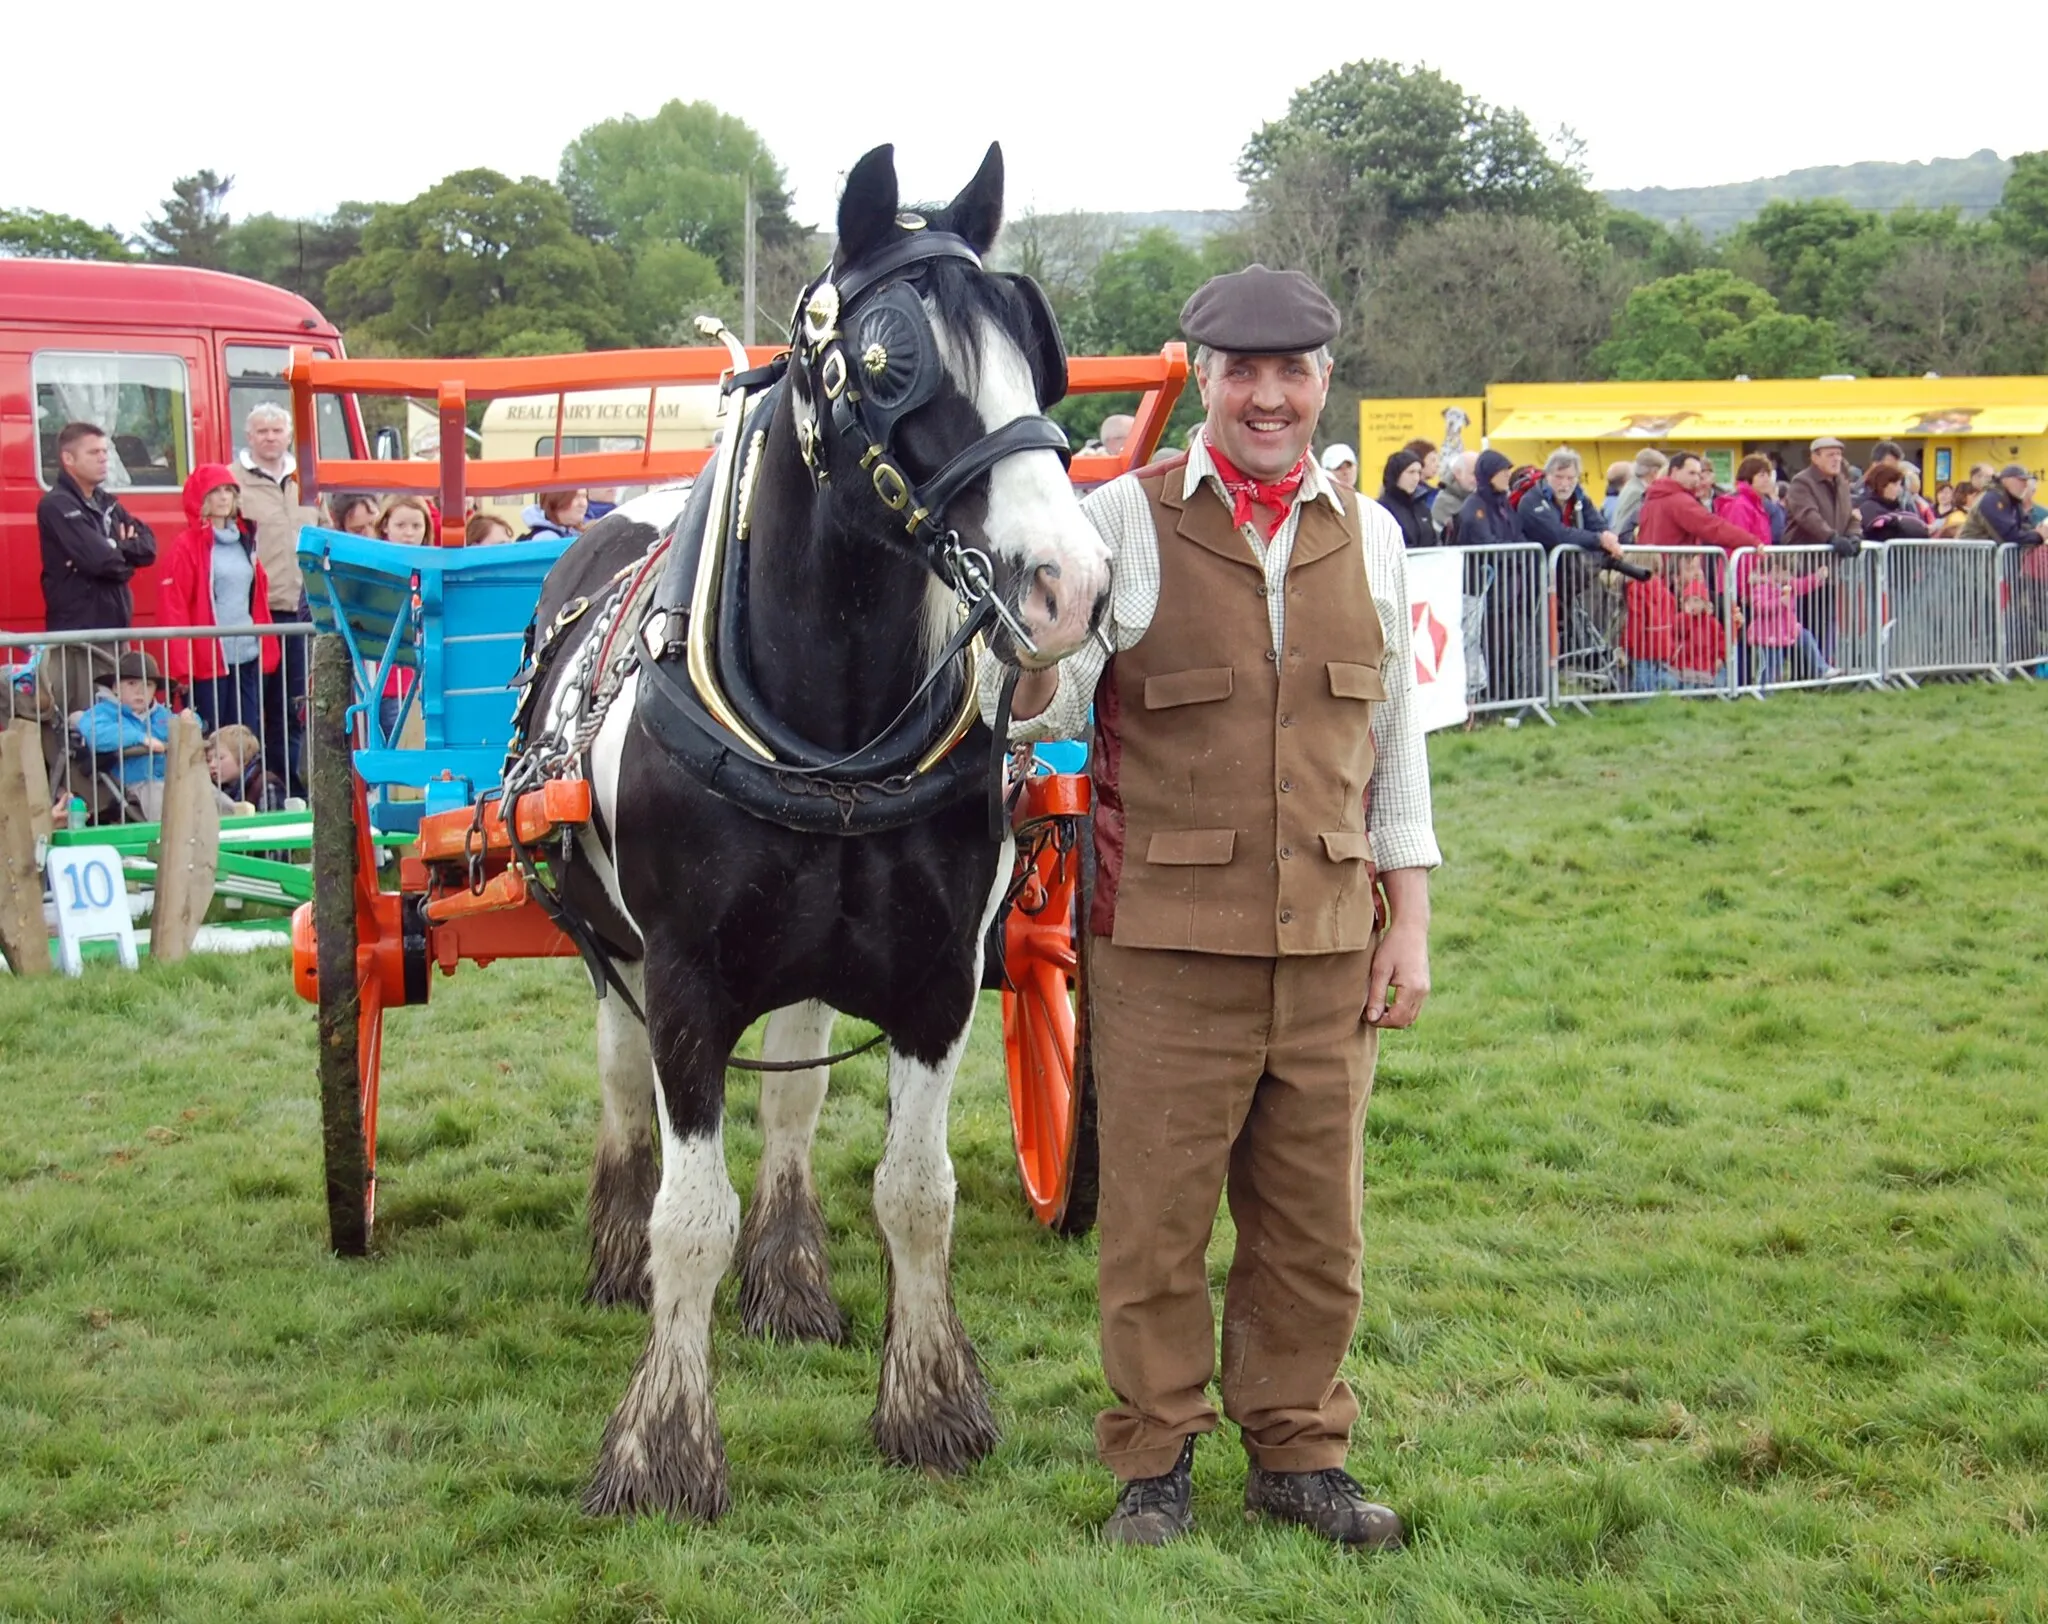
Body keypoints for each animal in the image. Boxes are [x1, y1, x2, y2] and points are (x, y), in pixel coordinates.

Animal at [520, 142, 1114, 1523]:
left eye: (1038, 349)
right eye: (890, 361)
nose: (1070, 585)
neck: (827, 728)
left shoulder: (938, 977)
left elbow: (916, 1192)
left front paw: (930, 1402)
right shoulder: (685, 980)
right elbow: (690, 1213)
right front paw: (663, 1448)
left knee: (790, 1094)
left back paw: (789, 1277)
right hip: (613, 951)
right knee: (620, 1084)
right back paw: (614, 1246)